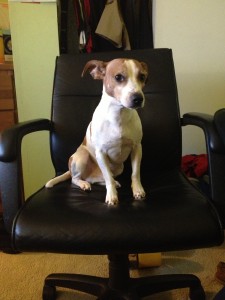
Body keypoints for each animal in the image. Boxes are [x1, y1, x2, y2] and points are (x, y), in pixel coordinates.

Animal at [45, 57, 148, 205]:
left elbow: (135, 173)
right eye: (118, 77)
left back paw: (112, 183)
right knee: (77, 179)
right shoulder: (101, 152)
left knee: (100, 178)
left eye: (142, 77)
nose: (138, 98)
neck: (119, 115)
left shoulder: (137, 148)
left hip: (119, 167)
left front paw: (138, 190)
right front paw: (111, 196)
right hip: (82, 157)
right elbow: (108, 177)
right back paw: (84, 184)